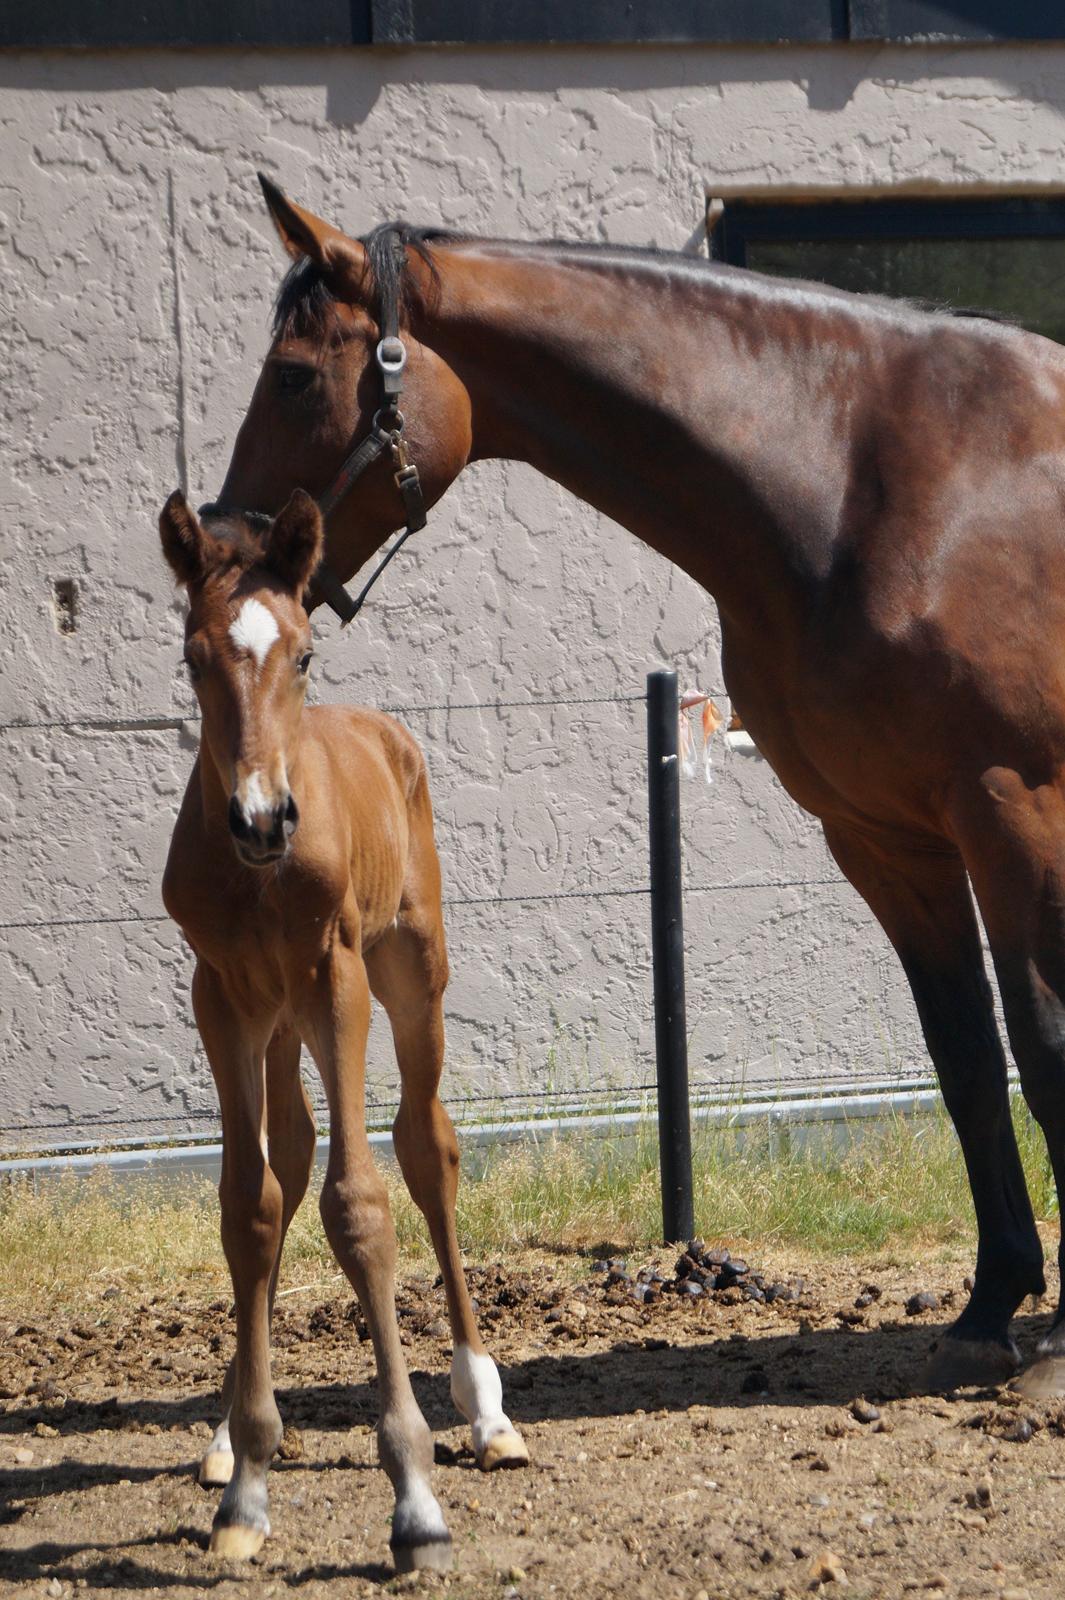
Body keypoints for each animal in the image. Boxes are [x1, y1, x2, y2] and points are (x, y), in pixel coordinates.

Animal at [159, 492, 524, 1568]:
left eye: (306, 652)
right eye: (195, 658)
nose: (261, 819)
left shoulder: (337, 981)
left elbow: (360, 1206)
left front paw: (415, 1496)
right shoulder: (222, 995)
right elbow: (249, 1207)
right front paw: (246, 1481)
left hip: (410, 975)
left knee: (426, 1147)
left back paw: (485, 1409)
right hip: (279, 1024)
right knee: (287, 1156)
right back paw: (224, 1434)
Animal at [203, 172, 1061, 1401]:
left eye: (293, 374)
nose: (230, 561)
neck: (878, 486)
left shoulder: (1010, 807)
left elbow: (1042, 1047)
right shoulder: (887, 840)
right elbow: (967, 1062)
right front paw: (991, 1308)